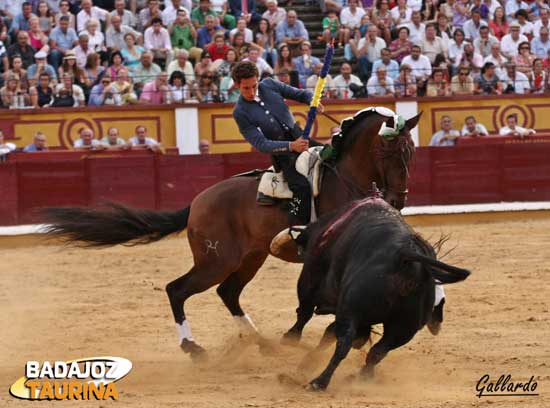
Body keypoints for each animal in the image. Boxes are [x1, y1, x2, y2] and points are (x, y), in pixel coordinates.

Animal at [44, 109, 422, 360]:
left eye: (411, 151)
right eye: (386, 150)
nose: (398, 199)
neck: (342, 178)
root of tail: (197, 203)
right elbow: (310, 303)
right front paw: (305, 336)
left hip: (249, 258)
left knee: (227, 293)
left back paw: (260, 342)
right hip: (215, 261)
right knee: (177, 289)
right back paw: (194, 347)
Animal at [284, 196, 470, 390]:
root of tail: (406, 257)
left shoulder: (311, 280)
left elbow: (305, 313)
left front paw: (289, 339)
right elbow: (329, 332)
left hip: (351, 311)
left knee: (343, 344)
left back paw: (319, 382)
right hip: (404, 329)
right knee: (378, 352)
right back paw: (363, 377)